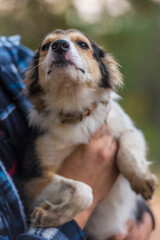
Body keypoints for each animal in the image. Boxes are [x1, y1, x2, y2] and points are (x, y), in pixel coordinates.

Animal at [19, 29, 156, 239]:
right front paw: (51, 216)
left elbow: (128, 147)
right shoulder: (31, 178)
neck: (75, 111)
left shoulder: (128, 127)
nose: (59, 45)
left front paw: (141, 179)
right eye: (45, 46)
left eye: (83, 44)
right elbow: (84, 190)